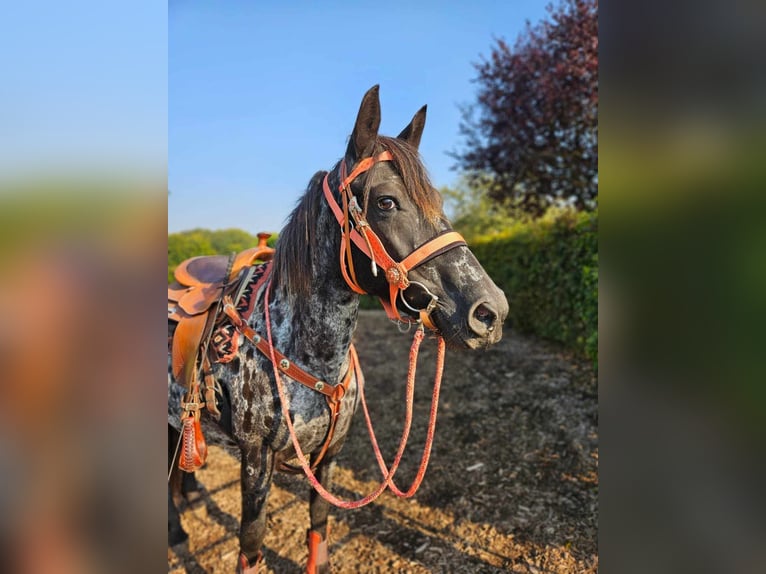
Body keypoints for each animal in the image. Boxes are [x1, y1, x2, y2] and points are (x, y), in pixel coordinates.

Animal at [171, 86, 512, 574]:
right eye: (386, 202)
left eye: (441, 204)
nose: (490, 311)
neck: (312, 359)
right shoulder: (256, 462)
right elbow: (251, 546)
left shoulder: (329, 456)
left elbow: (319, 526)